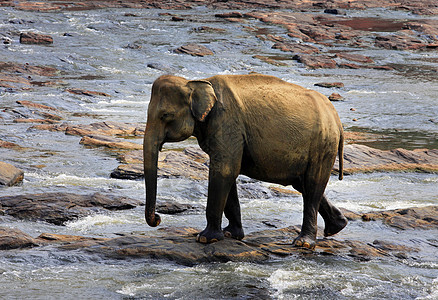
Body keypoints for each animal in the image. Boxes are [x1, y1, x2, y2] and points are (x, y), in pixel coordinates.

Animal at [145, 74, 350, 250]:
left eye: (165, 115)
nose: (158, 218)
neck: (196, 82)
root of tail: (336, 118)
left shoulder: (227, 123)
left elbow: (224, 171)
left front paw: (205, 238)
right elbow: (228, 174)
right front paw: (231, 234)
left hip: (323, 144)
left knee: (313, 185)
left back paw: (304, 243)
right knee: (303, 185)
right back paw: (337, 226)